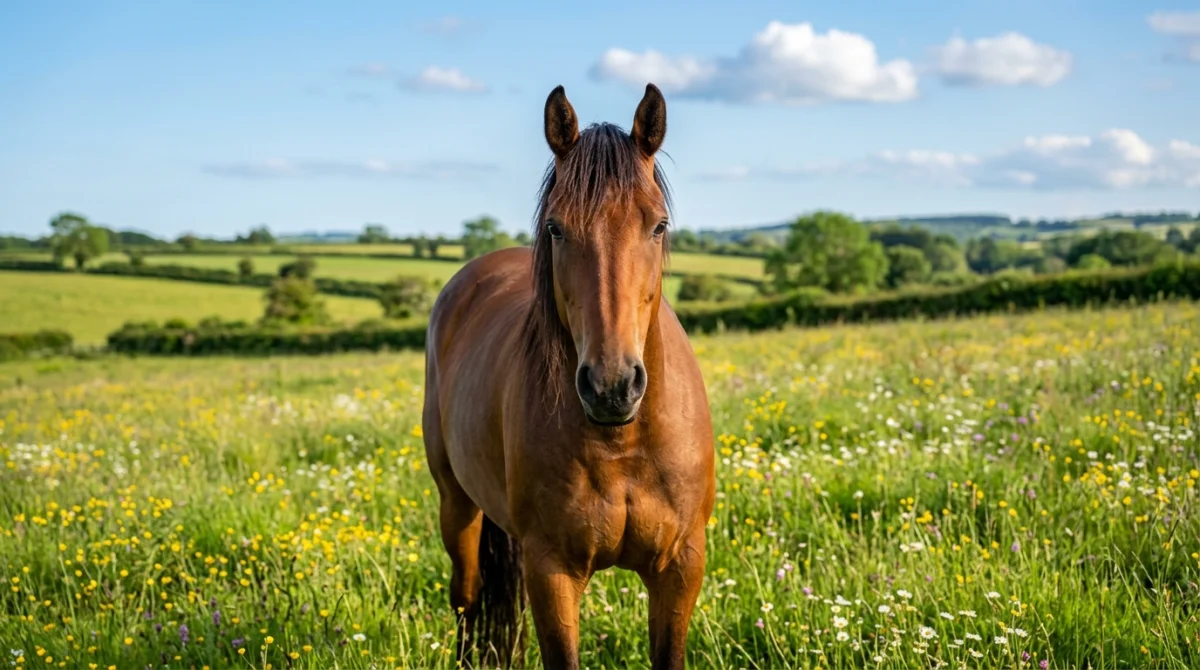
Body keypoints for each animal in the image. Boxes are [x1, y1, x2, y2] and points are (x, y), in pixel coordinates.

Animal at [422, 82, 716, 670]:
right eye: (556, 228)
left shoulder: (680, 568)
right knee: (466, 599)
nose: (611, 386)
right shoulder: (551, 570)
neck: (622, 442)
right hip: (456, 506)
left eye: (658, 225)